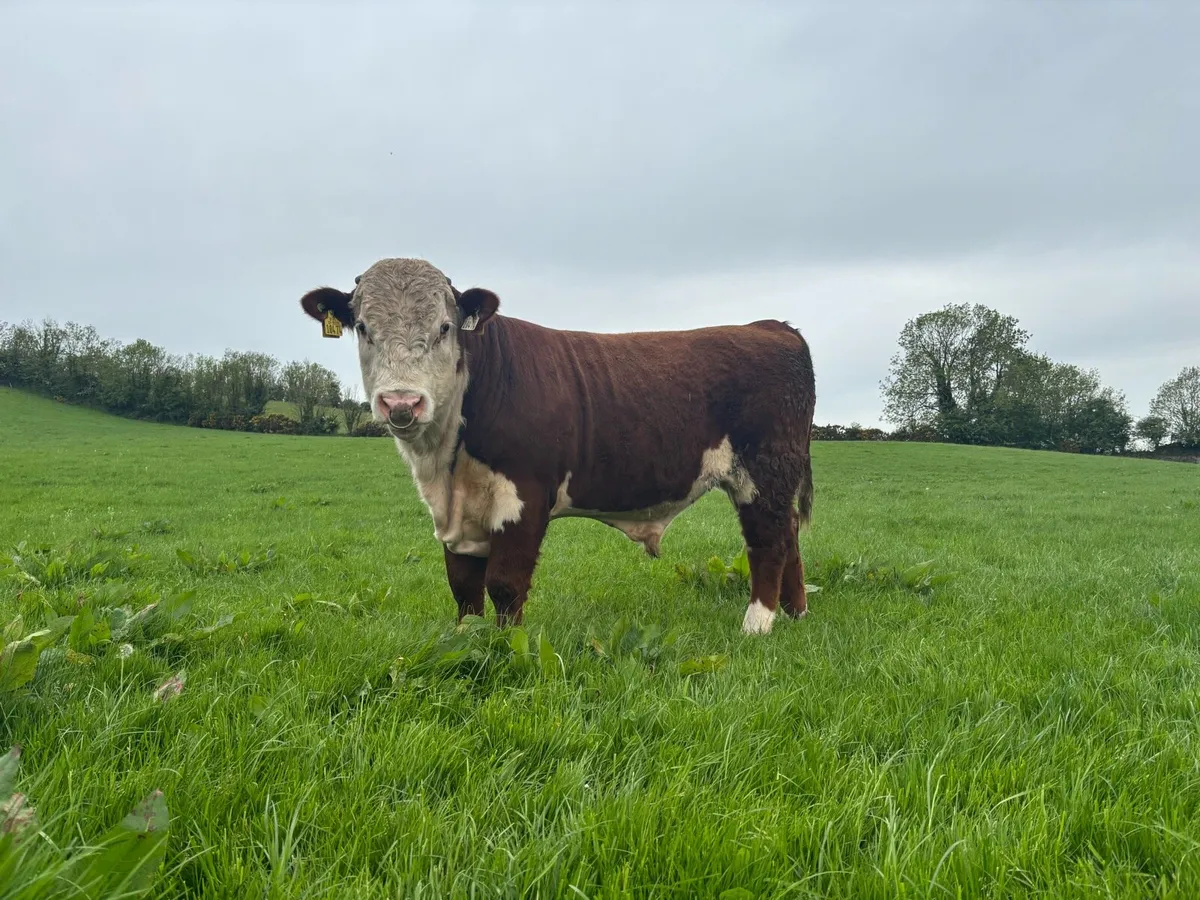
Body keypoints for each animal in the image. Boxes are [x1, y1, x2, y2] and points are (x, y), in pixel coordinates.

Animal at [299, 258, 816, 635]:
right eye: (364, 328)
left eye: (445, 327)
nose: (401, 402)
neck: (445, 467)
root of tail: (771, 326)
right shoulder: (458, 515)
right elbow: (463, 588)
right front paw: (465, 640)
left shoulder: (524, 496)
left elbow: (504, 585)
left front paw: (506, 648)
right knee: (790, 533)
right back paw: (796, 614)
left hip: (763, 472)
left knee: (769, 541)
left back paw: (757, 626)